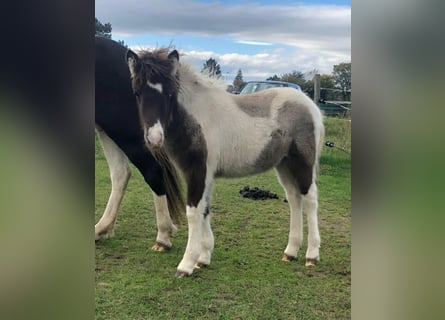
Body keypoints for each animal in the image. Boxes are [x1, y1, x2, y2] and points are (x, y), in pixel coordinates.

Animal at [125, 48, 322, 278]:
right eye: (137, 92)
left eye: (169, 94)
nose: (154, 139)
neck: (196, 117)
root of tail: (310, 104)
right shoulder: (203, 174)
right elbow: (205, 209)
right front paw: (203, 259)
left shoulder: (199, 170)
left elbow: (193, 212)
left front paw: (186, 264)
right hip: (284, 164)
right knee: (294, 198)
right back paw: (290, 252)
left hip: (302, 161)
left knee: (310, 199)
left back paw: (311, 255)